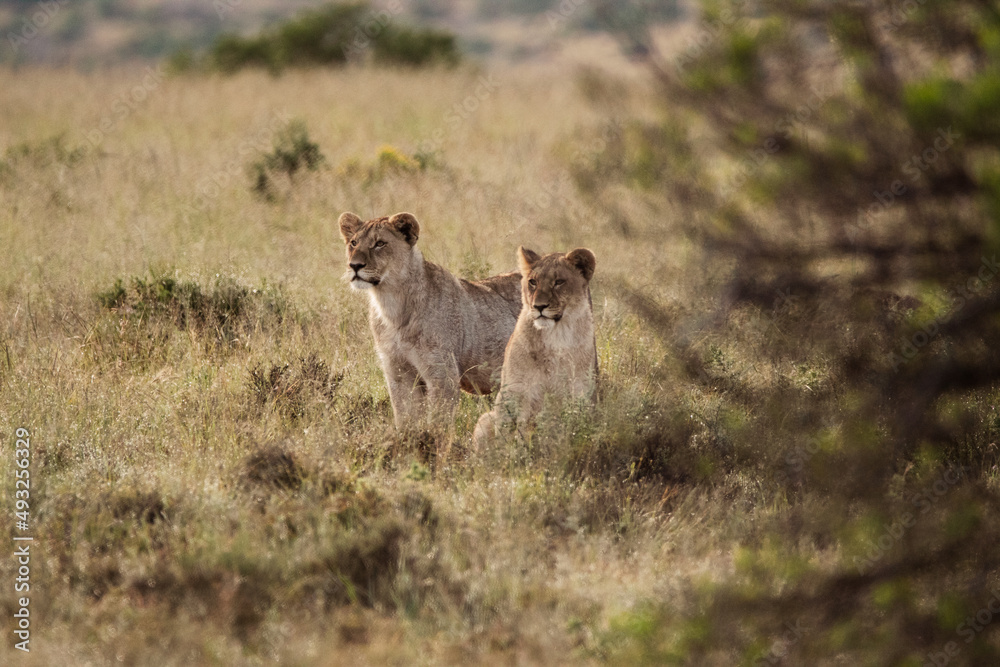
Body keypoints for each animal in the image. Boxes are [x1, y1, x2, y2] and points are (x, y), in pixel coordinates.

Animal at [338, 211, 522, 428]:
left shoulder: (442, 375)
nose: (354, 265)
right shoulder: (397, 372)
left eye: (380, 243)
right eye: (353, 243)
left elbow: (437, 424)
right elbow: (405, 419)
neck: (391, 304)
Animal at [473, 245, 598, 446]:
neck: (556, 335)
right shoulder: (515, 390)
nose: (539, 306)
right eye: (533, 282)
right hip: (485, 419)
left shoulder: (581, 391)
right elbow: (509, 433)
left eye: (559, 282)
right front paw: (510, 452)